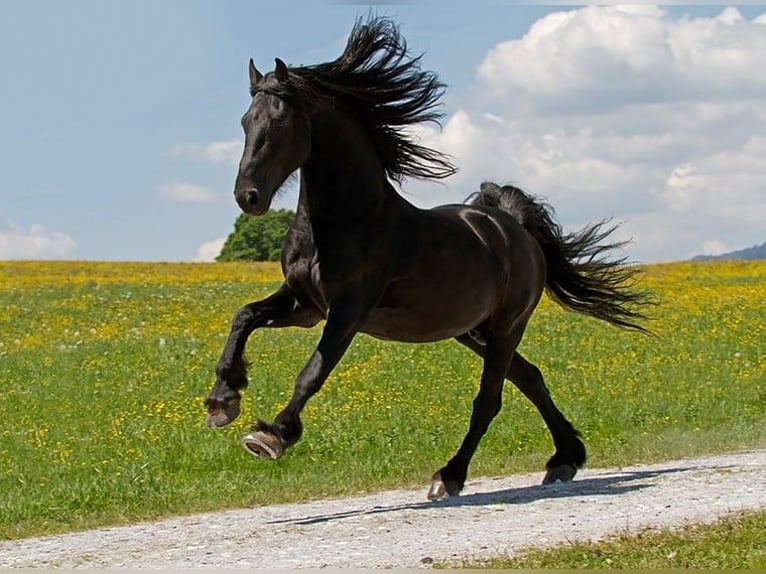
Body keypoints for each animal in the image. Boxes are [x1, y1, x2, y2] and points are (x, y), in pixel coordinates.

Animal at [206, 18, 656, 502]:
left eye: (280, 120)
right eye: (245, 121)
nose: (248, 197)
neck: (346, 220)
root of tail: (513, 229)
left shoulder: (347, 311)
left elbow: (313, 372)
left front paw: (271, 435)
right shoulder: (306, 304)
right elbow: (244, 316)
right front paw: (222, 401)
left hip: (506, 326)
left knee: (490, 399)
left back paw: (450, 475)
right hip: (470, 331)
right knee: (529, 377)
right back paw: (564, 459)